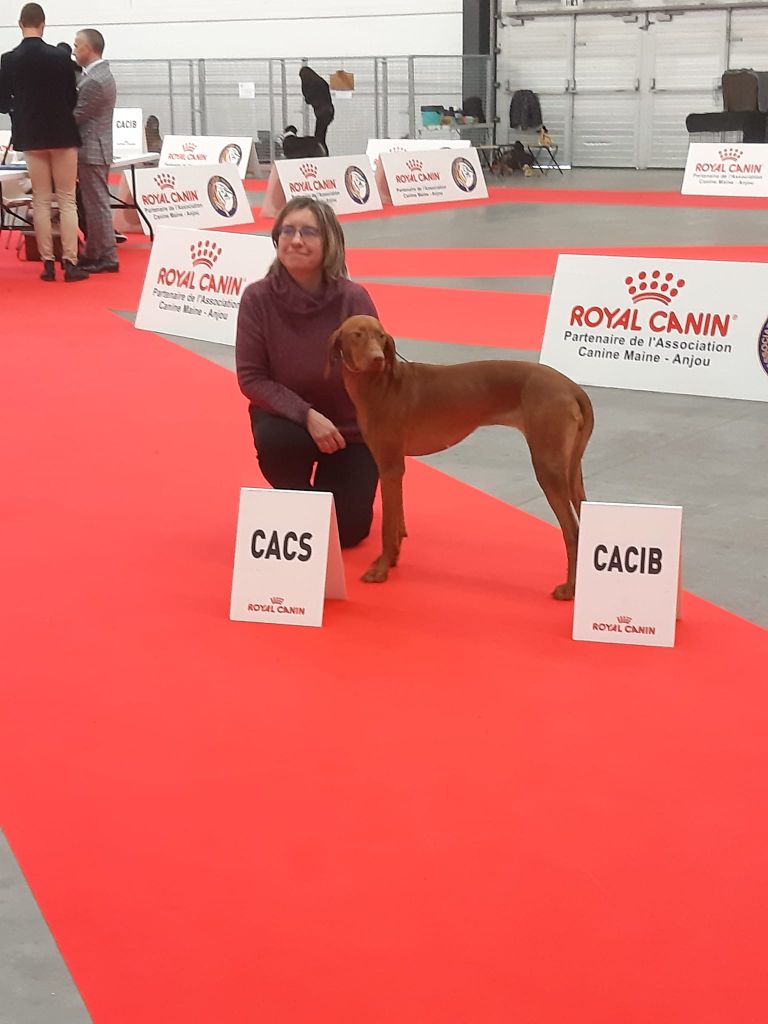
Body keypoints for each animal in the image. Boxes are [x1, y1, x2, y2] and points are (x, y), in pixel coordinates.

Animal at [331, 313, 593, 598]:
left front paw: (380, 570)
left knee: (573, 532)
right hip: (572, 474)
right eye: (357, 334)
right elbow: (397, 520)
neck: (381, 384)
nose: (377, 358)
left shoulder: (389, 466)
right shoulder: (394, 466)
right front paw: (391, 560)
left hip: (548, 468)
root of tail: (570, 386)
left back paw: (569, 590)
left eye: (380, 336)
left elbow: (387, 528)